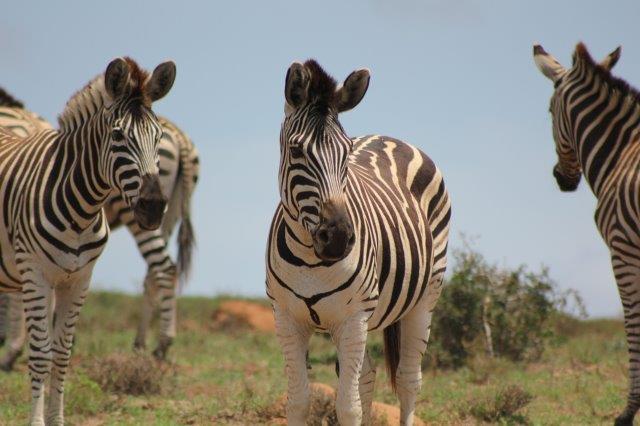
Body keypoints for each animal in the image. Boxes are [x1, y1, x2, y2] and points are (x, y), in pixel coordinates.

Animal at [0, 57, 175, 426]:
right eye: (118, 135)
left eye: (158, 136)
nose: (153, 207)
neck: (80, 211)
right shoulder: (36, 274)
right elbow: (41, 354)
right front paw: (37, 421)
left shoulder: (79, 279)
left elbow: (62, 353)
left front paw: (57, 420)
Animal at [0, 92, 198, 370]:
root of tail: (180, 137)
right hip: (168, 214)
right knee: (154, 273)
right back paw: (140, 345)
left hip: (138, 213)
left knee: (164, 268)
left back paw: (161, 345)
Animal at [264, 60, 450, 426]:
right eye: (296, 150)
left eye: (347, 152)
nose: (337, 237)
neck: (310, 259)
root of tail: (391, 138)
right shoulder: (286, 318)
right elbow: (299, 400)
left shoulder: (352, 319)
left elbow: (347, 407)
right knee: (367, 376)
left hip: (425, 296)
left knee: (408, 380)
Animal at [532, 40, 640, 426]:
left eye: (549, 111)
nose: (560, 178)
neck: (623, 153)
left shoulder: (623, 249)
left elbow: (633, 326)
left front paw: (627, 413)